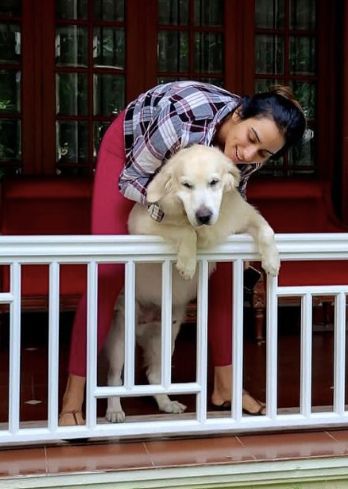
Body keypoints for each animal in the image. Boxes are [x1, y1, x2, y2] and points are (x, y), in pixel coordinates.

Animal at [104, 143, 278, 422]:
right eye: (186, 185)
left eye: (214, 182)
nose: (204, 215)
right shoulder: (144, 226)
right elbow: (186, 231)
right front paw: (187, 263)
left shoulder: (243, 216)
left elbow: (266, 230)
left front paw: (272, 261)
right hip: (121, 336)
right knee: (114, 378)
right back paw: (115, 410)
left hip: (166, 334)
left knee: (155, 374)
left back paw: (166, 403)